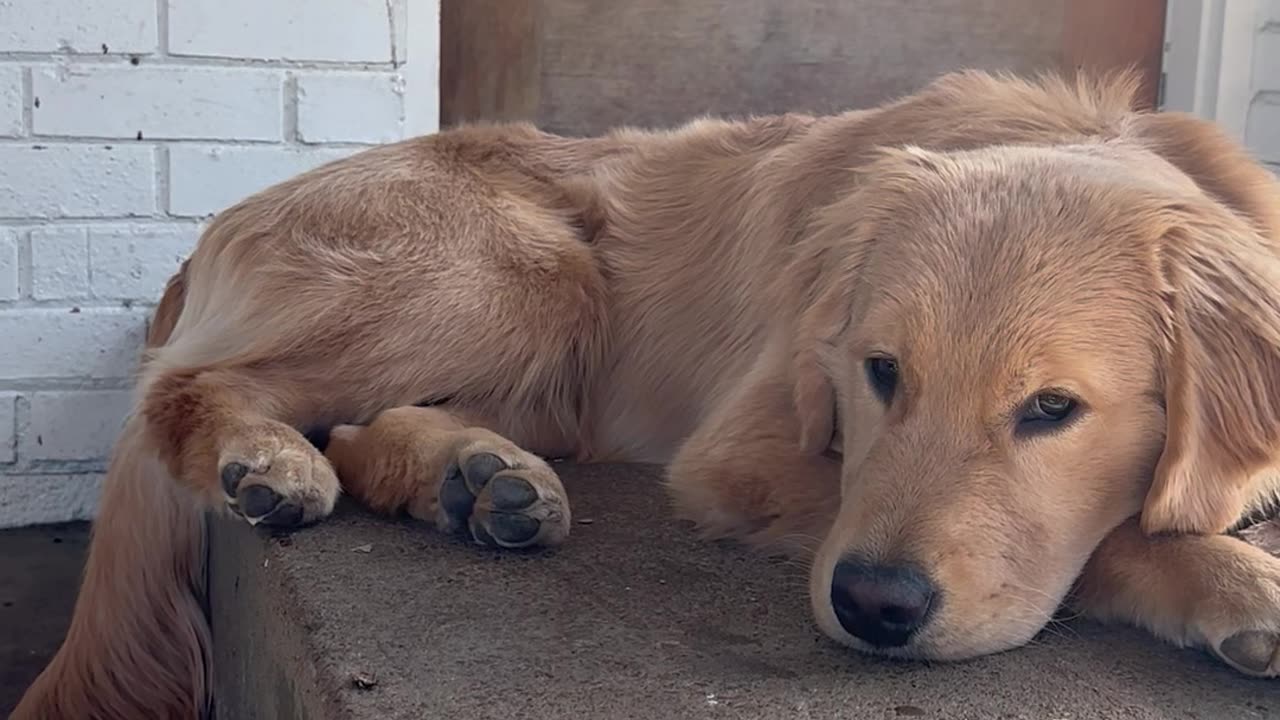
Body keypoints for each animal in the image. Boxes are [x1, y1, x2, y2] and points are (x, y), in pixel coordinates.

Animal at [15, 71, 1280, 717]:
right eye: (878, 375)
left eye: (1051, 411)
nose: (874, 609)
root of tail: (217, 228)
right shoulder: (740, 452)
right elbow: (1111, 535)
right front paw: (1229, 579)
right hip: (523, 273)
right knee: (184, 388)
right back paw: (269, 462)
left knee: (364, 427)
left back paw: (478, 481)